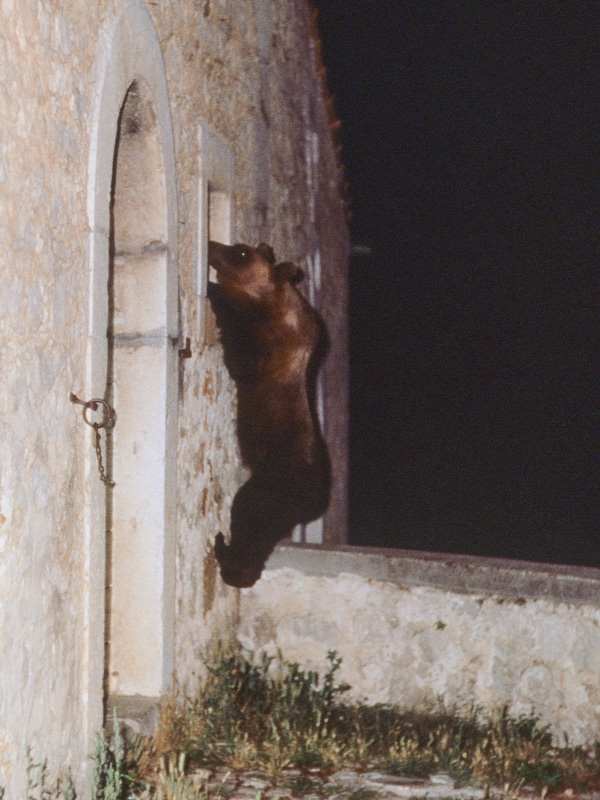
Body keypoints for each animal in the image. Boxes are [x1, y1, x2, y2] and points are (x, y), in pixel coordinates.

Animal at [207, 239, 330, 588]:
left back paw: (226, 554)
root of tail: (315, 501)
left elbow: (239, 359)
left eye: (241, 253)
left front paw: (215, 292)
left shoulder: (267, 348)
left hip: (274, 487)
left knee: (247, 517)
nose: (211, 244)